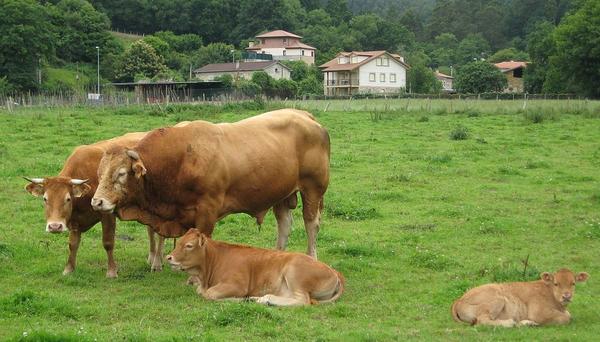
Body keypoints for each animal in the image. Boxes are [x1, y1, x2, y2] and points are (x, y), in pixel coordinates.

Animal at [24, 132, 165, 278]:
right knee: (150, 230)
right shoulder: (74, 221)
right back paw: (152, 257)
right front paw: (69, 269)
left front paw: (111, 271)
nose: (55, 226)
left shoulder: (107, 213)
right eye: (45, 199)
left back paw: (157, 263)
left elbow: (108, 242)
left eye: (68, 199)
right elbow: (72, 244)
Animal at [91, 109, 330, 260]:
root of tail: (305, 116)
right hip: (281, 192)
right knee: (285, 224)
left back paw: (312, 256)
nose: (97, 202)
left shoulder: (208, 210)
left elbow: (202, 239)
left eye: (121, 174)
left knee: (311, 223)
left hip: (313, 189)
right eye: (100, 173)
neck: (180, 160)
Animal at [166, 228, 344, 306]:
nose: (168, 257)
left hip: (295, 274)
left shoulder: (237, 285)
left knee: (303, 301)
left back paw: (266, 299)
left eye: (189, 246)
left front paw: (241, 299)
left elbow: (209, 294)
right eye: (179, 241)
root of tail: (335, 271)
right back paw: (262, 299)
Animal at [452, 268, 588, 328]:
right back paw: (511, 323)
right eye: (556, 284)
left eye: (573, 283)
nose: (566, 296)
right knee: (482, 321)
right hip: (498, 300)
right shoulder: (538, 312)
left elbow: (569, 315)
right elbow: (566, 318)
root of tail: (459, 300)